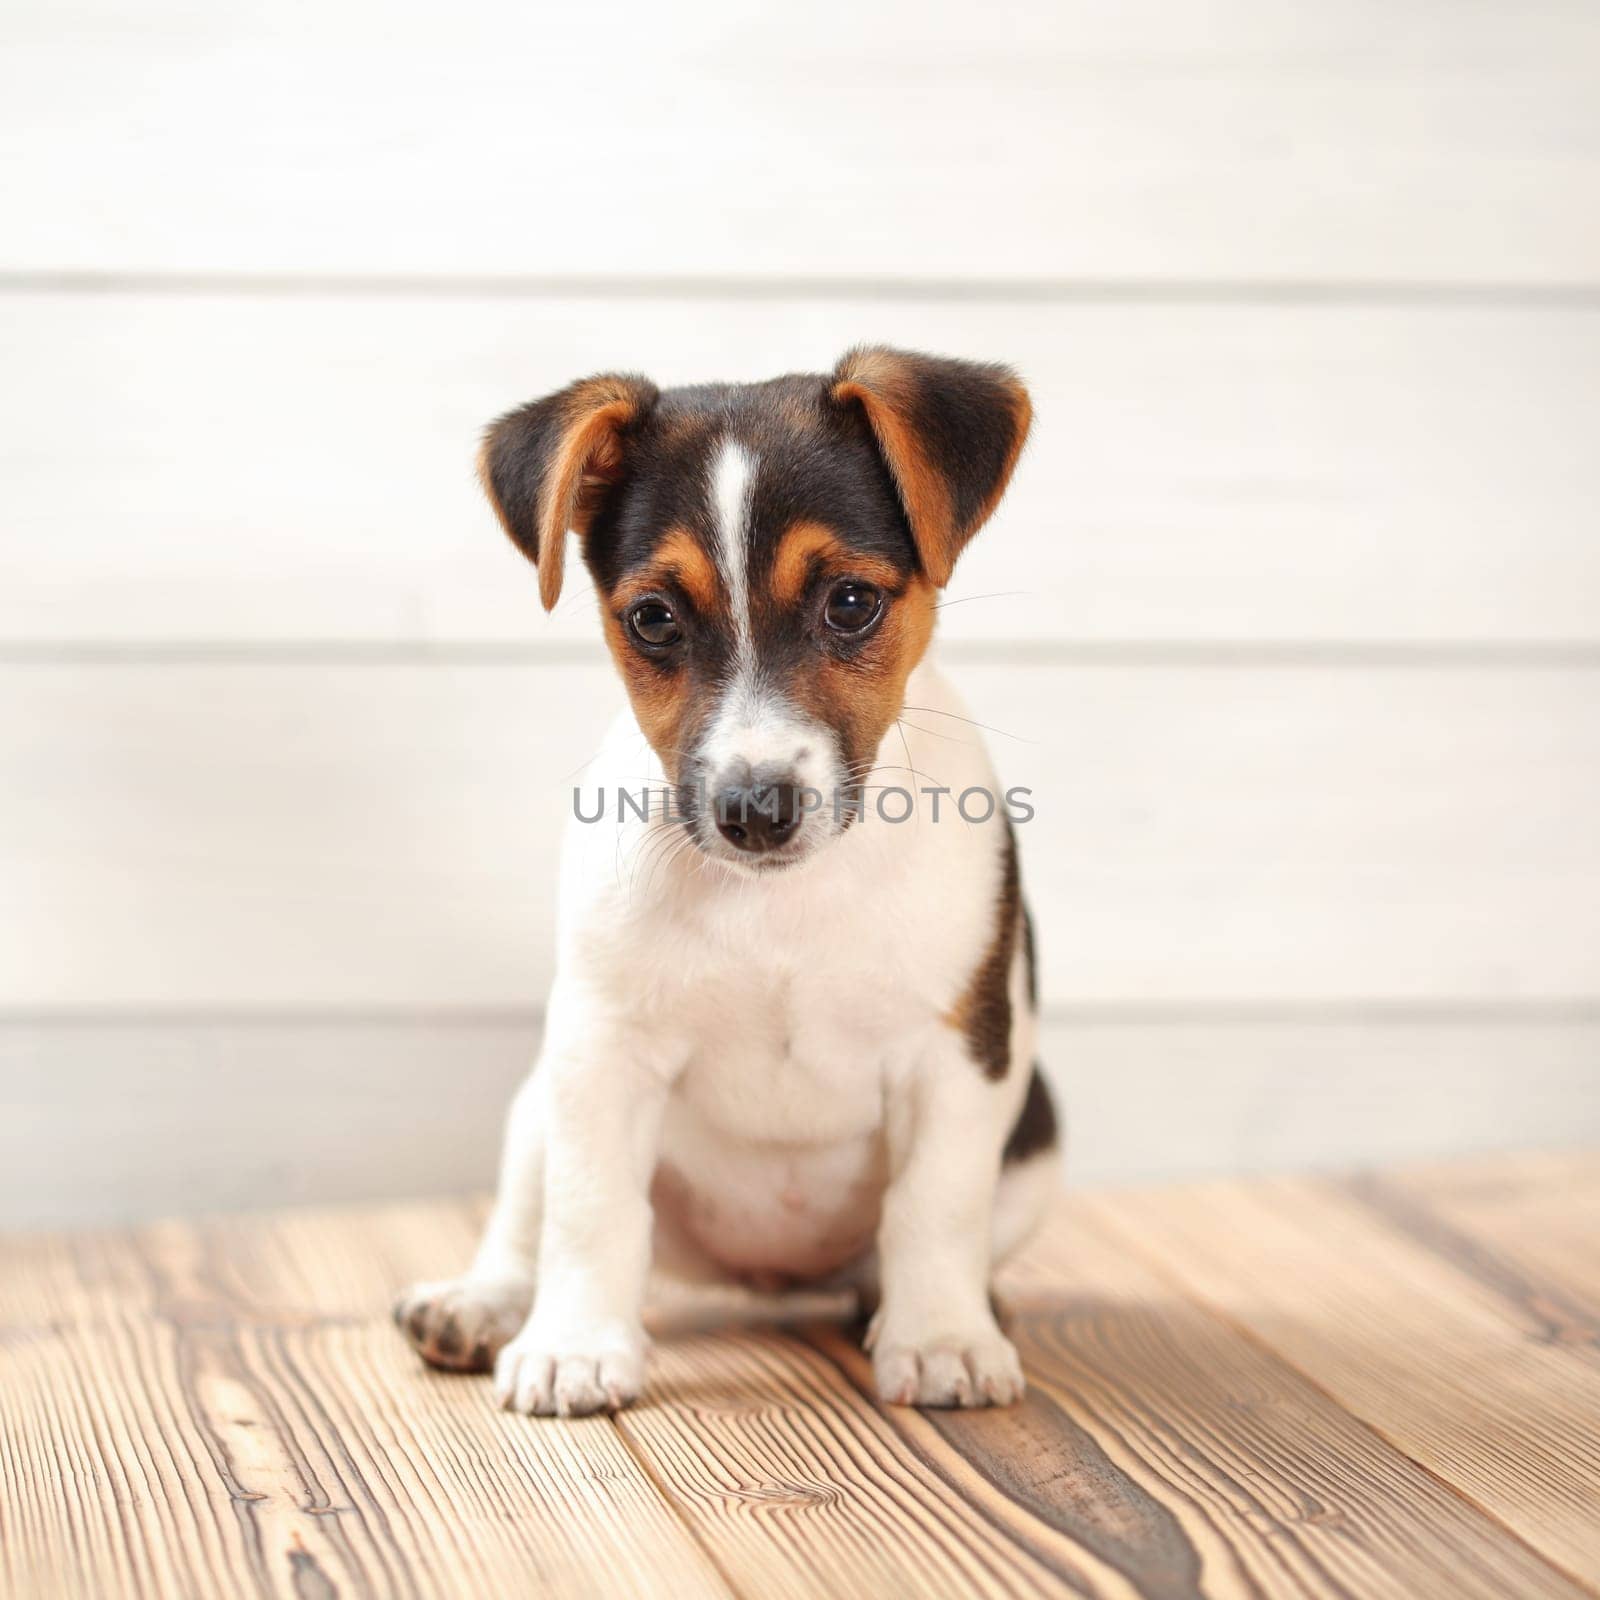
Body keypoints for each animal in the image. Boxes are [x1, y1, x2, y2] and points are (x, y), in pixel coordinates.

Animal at [390, 340, 1062, 1414]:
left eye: (851, 603)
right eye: (654, 619)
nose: (754, 809)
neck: (782, 900)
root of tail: (771, 1279)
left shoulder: (957, 1053)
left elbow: (933, 1207)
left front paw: (944, 1337)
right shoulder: (602, 1049)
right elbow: (591, 1211)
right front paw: (575, 1345)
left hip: (1035, 1139)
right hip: (539, 1101)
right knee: (525, 1224)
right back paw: (481, 1305)